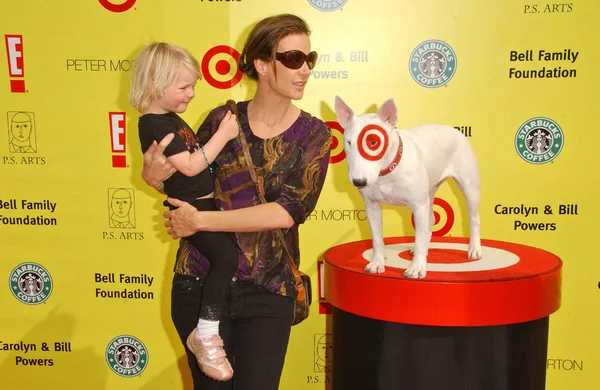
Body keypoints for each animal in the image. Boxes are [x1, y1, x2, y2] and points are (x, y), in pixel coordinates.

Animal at [332, 97, 482, 280]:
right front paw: (377, 263)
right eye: (348, 142)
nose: (359, 181)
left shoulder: (418, 206)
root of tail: (454, 130)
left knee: (473, 217)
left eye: (374, 142)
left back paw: (474, 249)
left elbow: (419, 237)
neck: (386, 172)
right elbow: (376, 238)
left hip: (469, 186)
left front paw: (416, 268)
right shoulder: (372, 206)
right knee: (431, 219)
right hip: (430, 190)